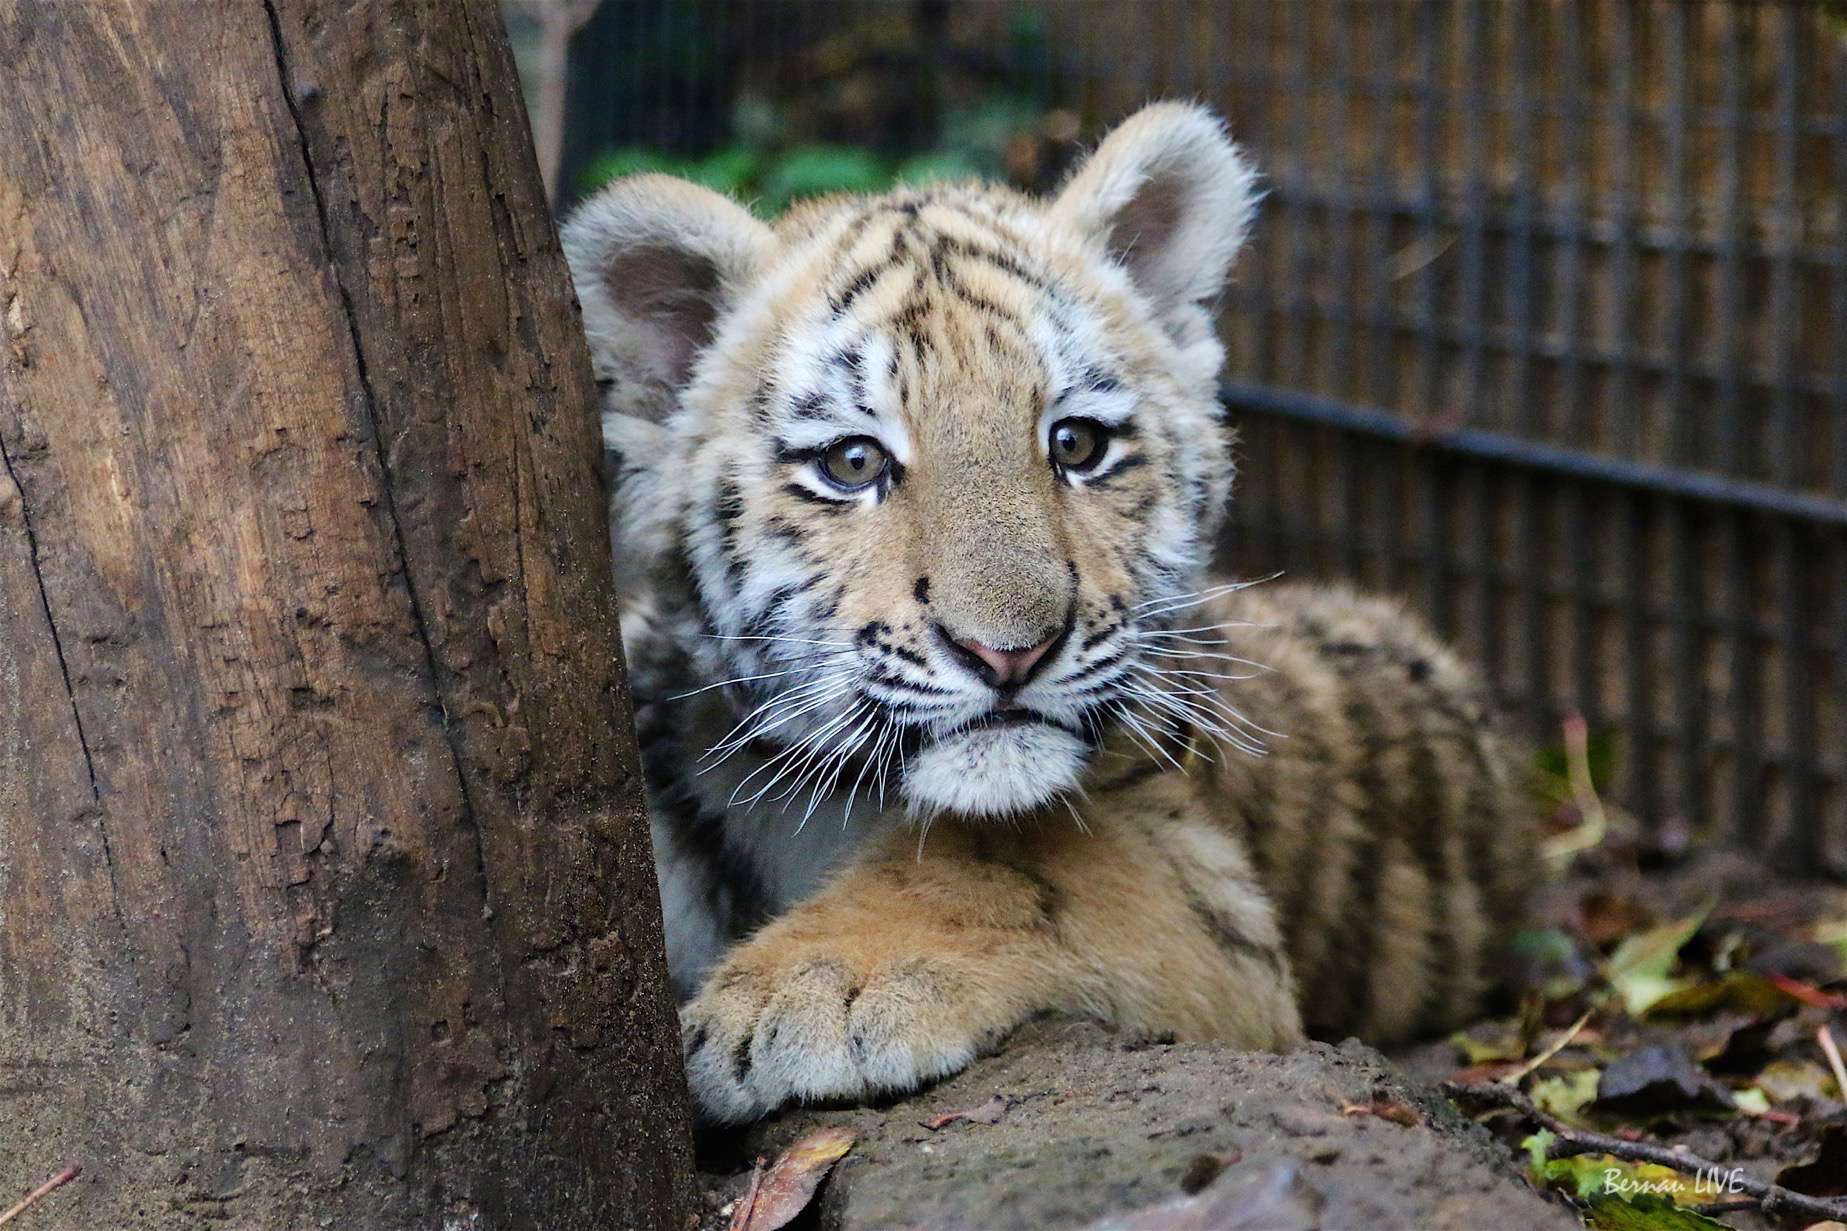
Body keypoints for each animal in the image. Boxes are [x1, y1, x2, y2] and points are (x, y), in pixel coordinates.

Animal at [561, 102, 1536, 1125]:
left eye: (1076, 444)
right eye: (852, 462)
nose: (1009, 653)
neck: (817, 811)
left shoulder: (1201, 879)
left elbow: (1016, 867)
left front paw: (803, 991)